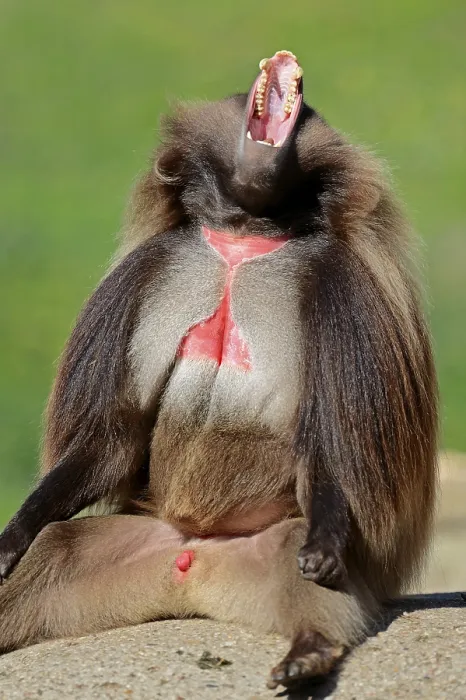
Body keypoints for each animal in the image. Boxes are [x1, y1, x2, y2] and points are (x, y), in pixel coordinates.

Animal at [0, 50, 437, 689]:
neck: (242, 235)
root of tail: (196, 561)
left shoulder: (340, 291)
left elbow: (331, 441)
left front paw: (326, 547)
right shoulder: (144, 272)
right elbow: (111, 438)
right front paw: (10, 537)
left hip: (267, 546)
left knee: (299, 559)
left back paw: (310, 650)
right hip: (139, 541)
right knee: (55, 546)